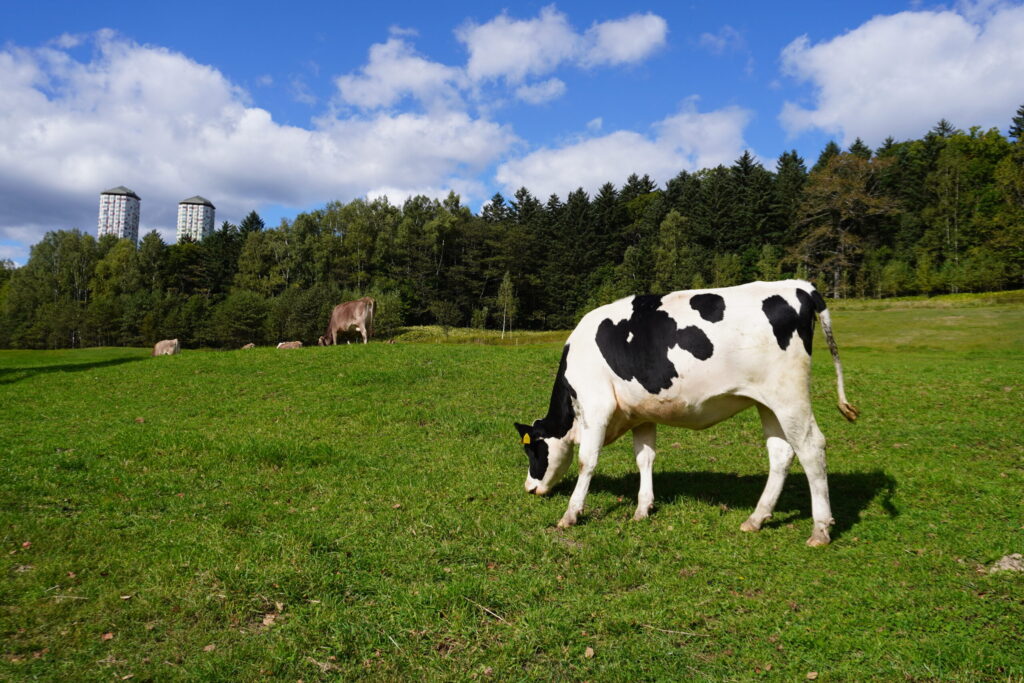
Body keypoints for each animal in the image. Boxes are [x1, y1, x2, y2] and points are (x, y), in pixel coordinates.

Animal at [514, 280, 858, 547]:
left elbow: (588, 460)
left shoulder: (597, 405)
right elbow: (644, 458)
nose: (528, 488)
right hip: (768, 403)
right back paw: (756, 518)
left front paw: (570, 514)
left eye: (532, 451)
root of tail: (800, 286)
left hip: (789, 396)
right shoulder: (641, 414)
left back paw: (820, 530)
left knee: (811, 448)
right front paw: (642, 509)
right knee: (782, 453)